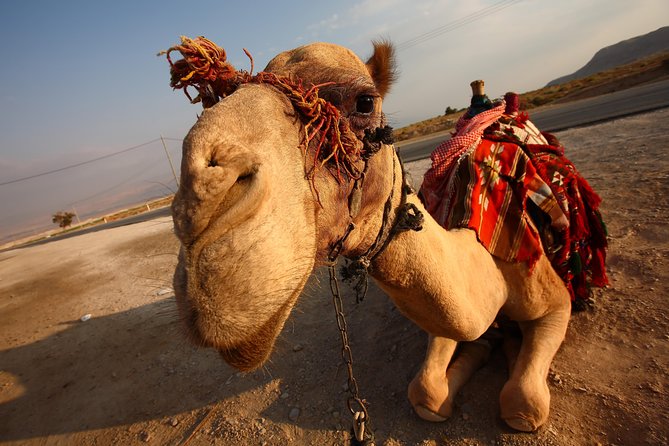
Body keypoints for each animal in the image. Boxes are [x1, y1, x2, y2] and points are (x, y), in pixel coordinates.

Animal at [165, 37, 573, 434]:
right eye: (218, 95)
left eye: (365, 102)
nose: (197, 213)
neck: (487, 253)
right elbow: (427, 391)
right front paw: (484, 349)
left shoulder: (557, 301)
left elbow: (523, 405)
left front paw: (506, 350)